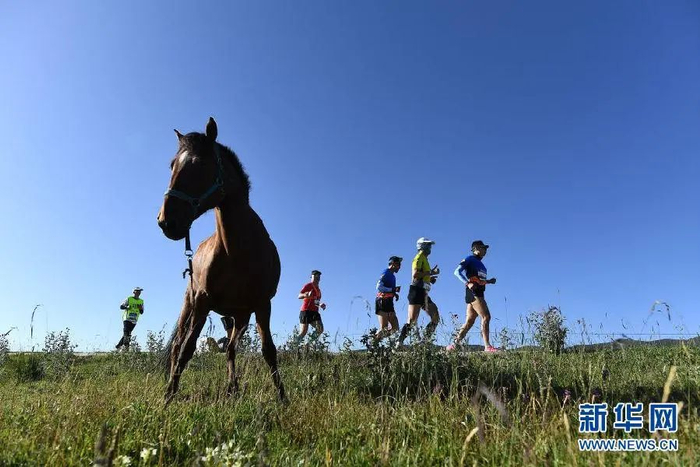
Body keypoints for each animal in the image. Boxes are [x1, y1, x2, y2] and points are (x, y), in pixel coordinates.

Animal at [157, 117, 286, 403]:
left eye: (200, 164)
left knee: (230, 349)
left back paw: (232, 387)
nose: (166, 221)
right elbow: (187, 349)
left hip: (239, 318)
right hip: (190, 305)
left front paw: (283, 397)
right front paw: (168, 396)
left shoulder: (262, 305)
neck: (238, 250)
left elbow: (268, 351)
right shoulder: (203, 302)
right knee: (178, 346)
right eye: (172, 165)